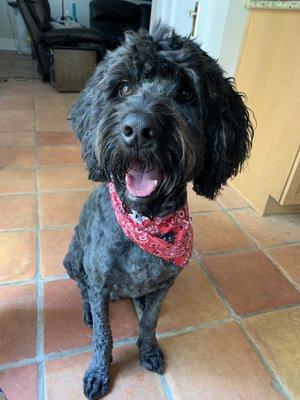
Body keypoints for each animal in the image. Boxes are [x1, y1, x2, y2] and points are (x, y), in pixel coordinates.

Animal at [63, 23, 253, 398]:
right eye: (123, 87)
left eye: (187, 92)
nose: (138, 128)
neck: (145, 221)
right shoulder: (100, 283)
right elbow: (103, 336)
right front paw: (99, 371)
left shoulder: (166, 282)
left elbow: (149, 322)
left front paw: (148, 348)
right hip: (74, 259)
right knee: (82, 289)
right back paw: (88, 310)